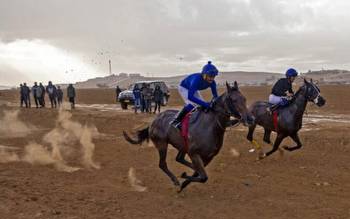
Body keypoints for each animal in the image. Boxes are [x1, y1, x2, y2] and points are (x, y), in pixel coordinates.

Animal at [123, 82, 254, 192]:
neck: (211, 126)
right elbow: (203, 177)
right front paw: (183, 178)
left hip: (182, 145)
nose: (250, 118)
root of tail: (153, 122)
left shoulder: (209, 157)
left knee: (179, 159)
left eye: (244, 99)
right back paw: (175, 180)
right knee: (162, 164)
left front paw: (184, 182)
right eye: (233, 100)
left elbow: (201, 174)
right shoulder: (194, 153)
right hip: (162, 144)